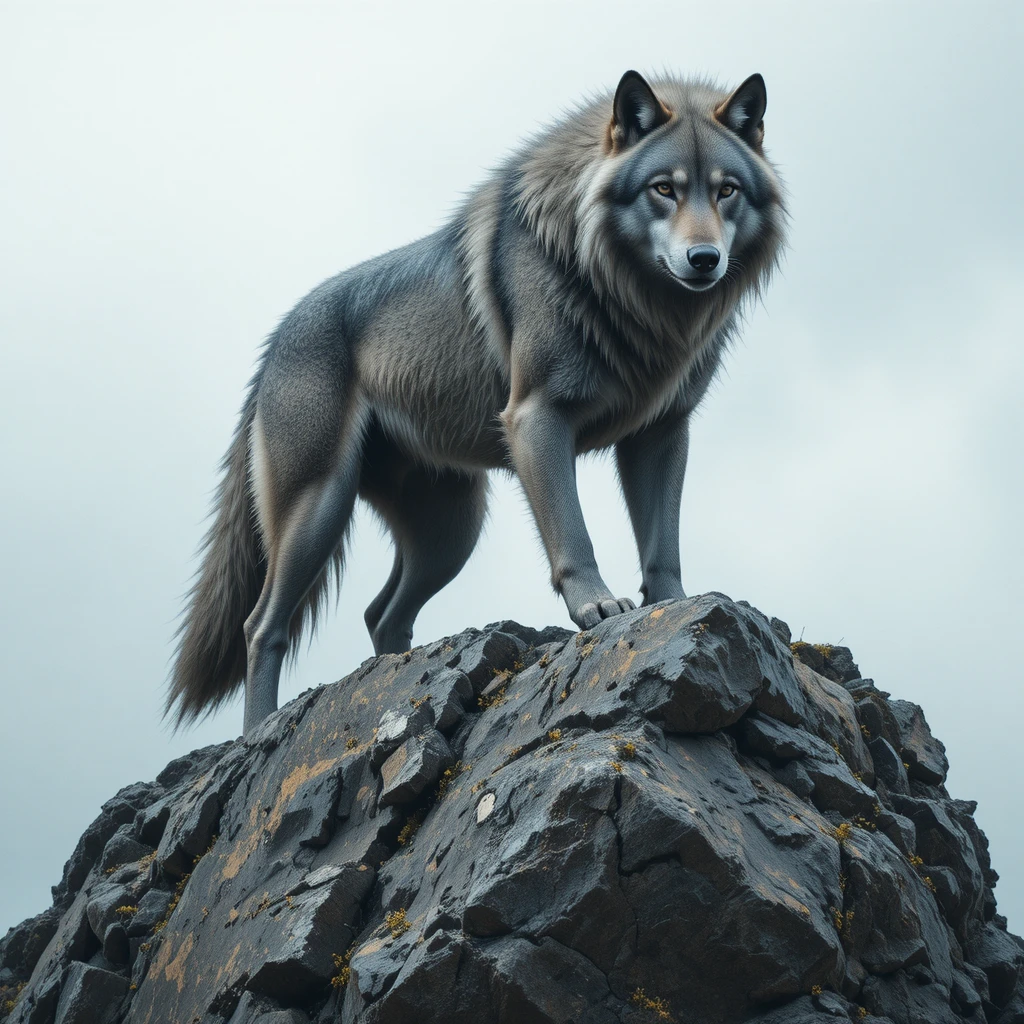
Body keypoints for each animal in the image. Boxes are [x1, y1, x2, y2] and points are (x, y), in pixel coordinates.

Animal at [168, 71, 786, 735]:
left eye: (726, 191)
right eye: (663, 189)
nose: (705, 260)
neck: (636, 301)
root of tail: (272, 346)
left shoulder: (663, 432)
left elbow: (662, 548)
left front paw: (673, 610)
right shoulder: (537, 419)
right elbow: (575, 536)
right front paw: (597, 608)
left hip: (451, 533)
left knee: (380, 613)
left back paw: (394, 682)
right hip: (320, 506)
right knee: (262, 627)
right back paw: (261, 729)